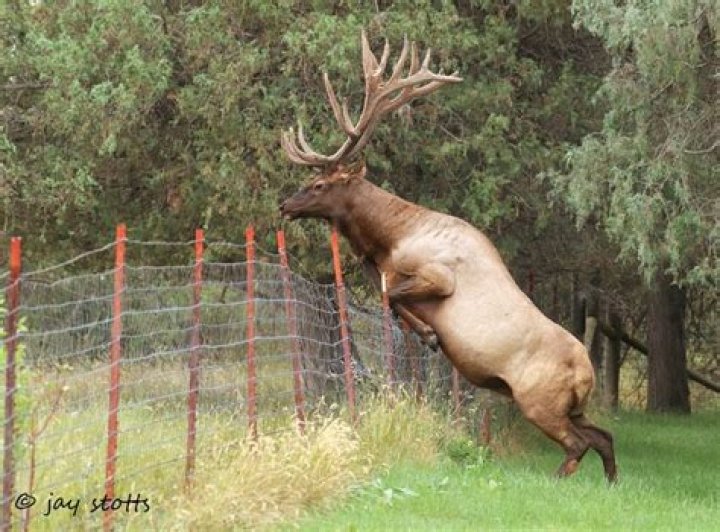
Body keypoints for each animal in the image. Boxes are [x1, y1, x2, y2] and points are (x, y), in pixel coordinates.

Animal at [279, 30, 617, 482]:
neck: (390, 239)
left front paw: (429, 333)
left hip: (538, 399)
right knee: (604, 437)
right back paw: (611, 485)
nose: (285, 204)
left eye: (319, 184)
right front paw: (425, 333)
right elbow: (386, 296)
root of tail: (588, 375)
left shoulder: (438, 275)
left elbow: (392, 296)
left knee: (579, 444)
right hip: (571, 407)